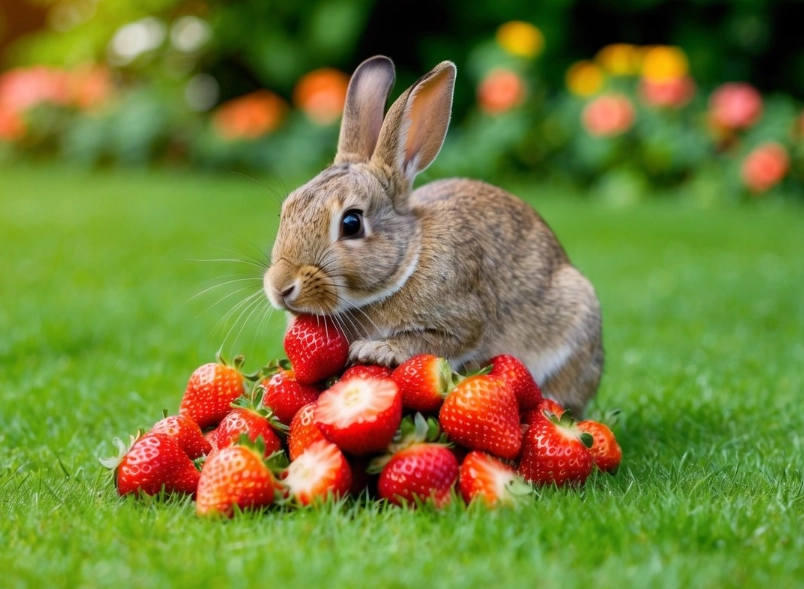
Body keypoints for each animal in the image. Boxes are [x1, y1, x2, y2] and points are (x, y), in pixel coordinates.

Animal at [264, 55, 603, 417]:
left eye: (352, 223)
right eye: (285, 212)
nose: (281, 288)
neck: (407, 262)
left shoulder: (462, 321)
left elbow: (432, 341)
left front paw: (376, 351)